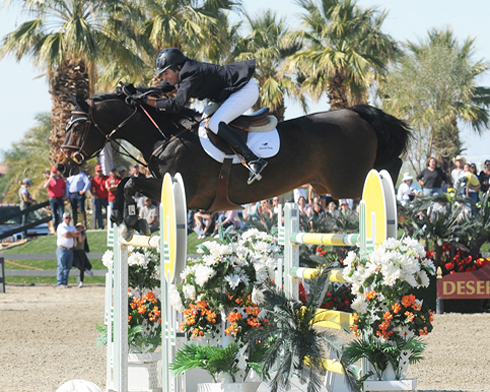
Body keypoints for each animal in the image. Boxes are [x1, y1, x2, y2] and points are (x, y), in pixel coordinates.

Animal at [56, 87, 410, 234]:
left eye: (78, 126)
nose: (63, 166)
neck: (166, 135)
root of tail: (357, 113)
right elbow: (127, 184)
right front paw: (129, 220)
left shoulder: (181, 191)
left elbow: (129, 182)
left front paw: (128, 219)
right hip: (334, 185)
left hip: (348, 182)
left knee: (388, 174)